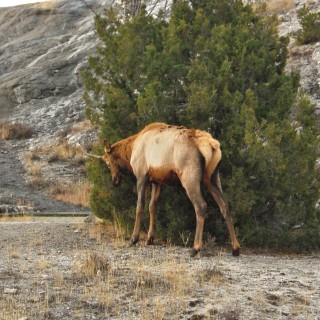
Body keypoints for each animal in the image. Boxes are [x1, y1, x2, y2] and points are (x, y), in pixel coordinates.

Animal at [85, 122, 240, 258]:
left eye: (108, 162)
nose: (115, 181)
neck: (131, 150)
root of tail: (212, 145)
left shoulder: (141, 175)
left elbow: (140, 206)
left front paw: (133, 239)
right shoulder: (157, 181)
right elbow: (152, 206)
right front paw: (150, 238)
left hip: (189, 176)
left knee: (201, 206)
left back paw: (195, 248)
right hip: (212, 177)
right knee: (225, 205)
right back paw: (235, 248)